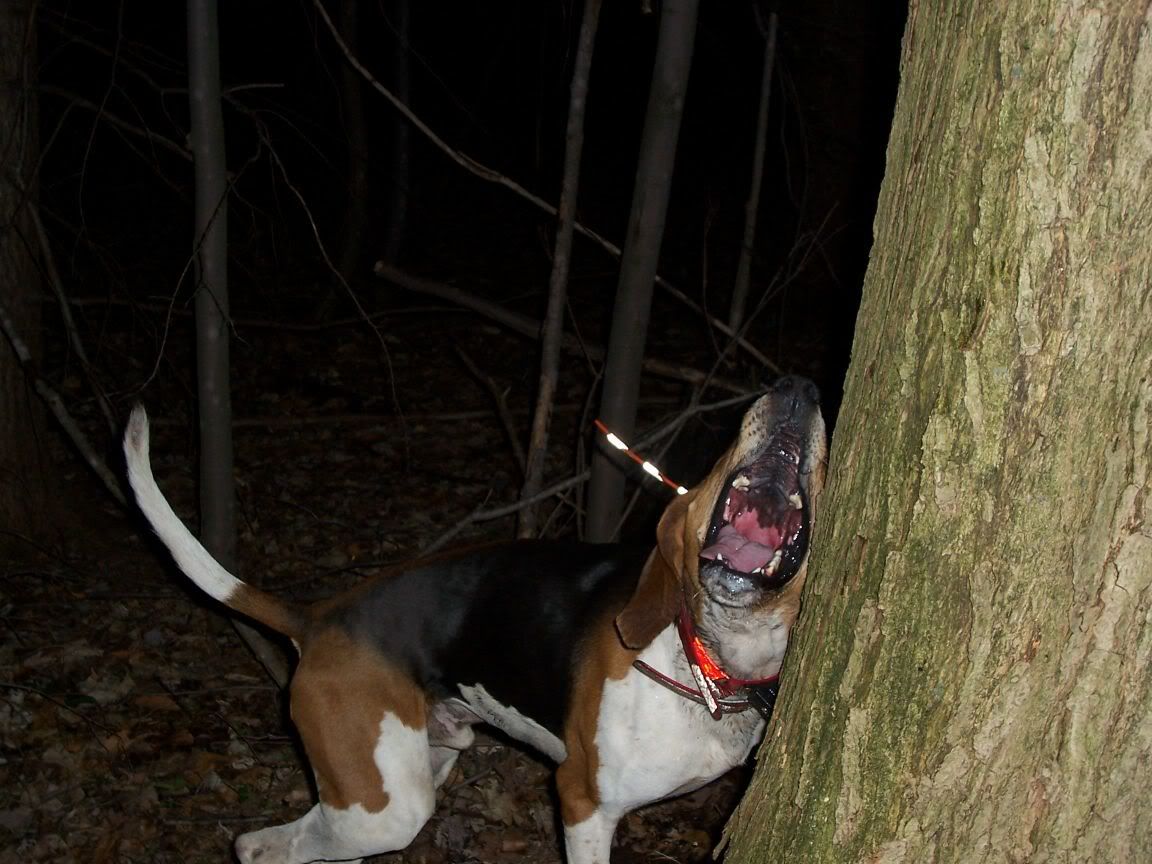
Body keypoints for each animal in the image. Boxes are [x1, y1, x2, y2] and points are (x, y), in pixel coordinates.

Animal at [123, 375, 827, 864]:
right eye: (723, 448)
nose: (796, 389)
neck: (709, 663)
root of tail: (321, 615)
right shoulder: (582, 802)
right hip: (384, 806)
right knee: (257, 847)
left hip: (390, 783)